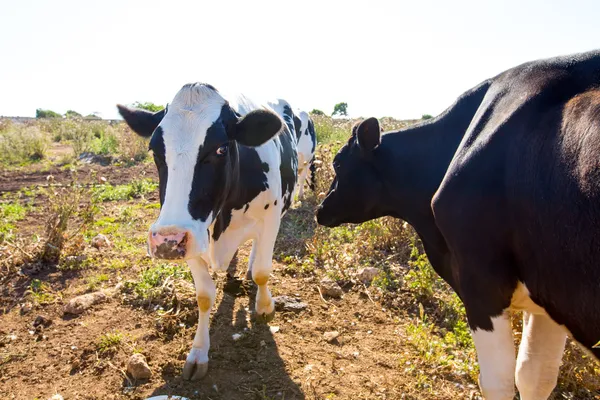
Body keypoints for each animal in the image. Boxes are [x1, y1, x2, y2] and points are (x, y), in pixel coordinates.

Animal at [116, 83, 298, 380]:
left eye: (221, 148)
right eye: (154, 150)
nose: (165, 240)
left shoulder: (271, 217)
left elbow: (263, 271)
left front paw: (264, 306)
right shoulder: (192, 237)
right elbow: (204, 295)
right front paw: (199, 353)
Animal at [316, 50, 600, 400]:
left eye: (338, 163)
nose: (320, 210)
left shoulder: (481, 282)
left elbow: (499, 380)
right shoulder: (546, 292)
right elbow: (535, 376)